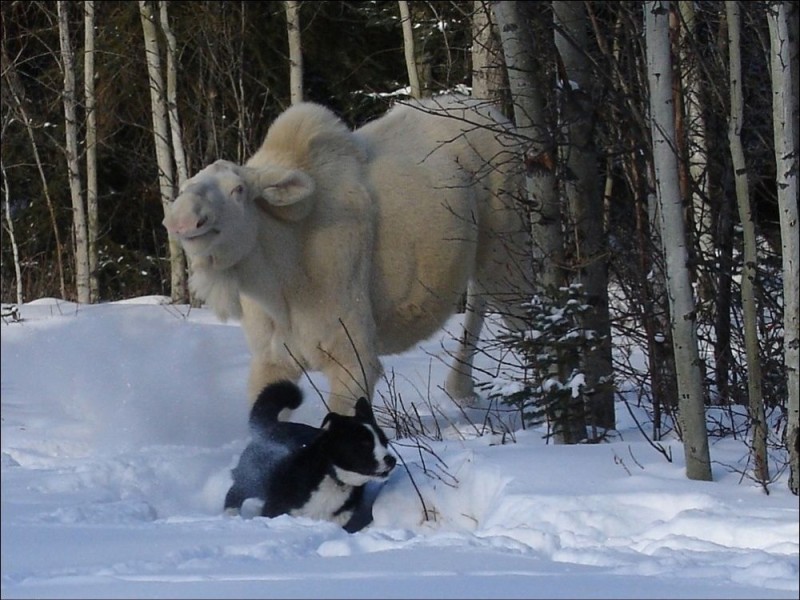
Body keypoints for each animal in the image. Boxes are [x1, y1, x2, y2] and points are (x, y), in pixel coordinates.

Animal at [223, 382, 396, 532]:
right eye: (364, 443)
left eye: (384, 441)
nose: (391, 460)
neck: (332, 477)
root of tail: (271, 426)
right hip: (252, 477)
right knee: (234, 493)